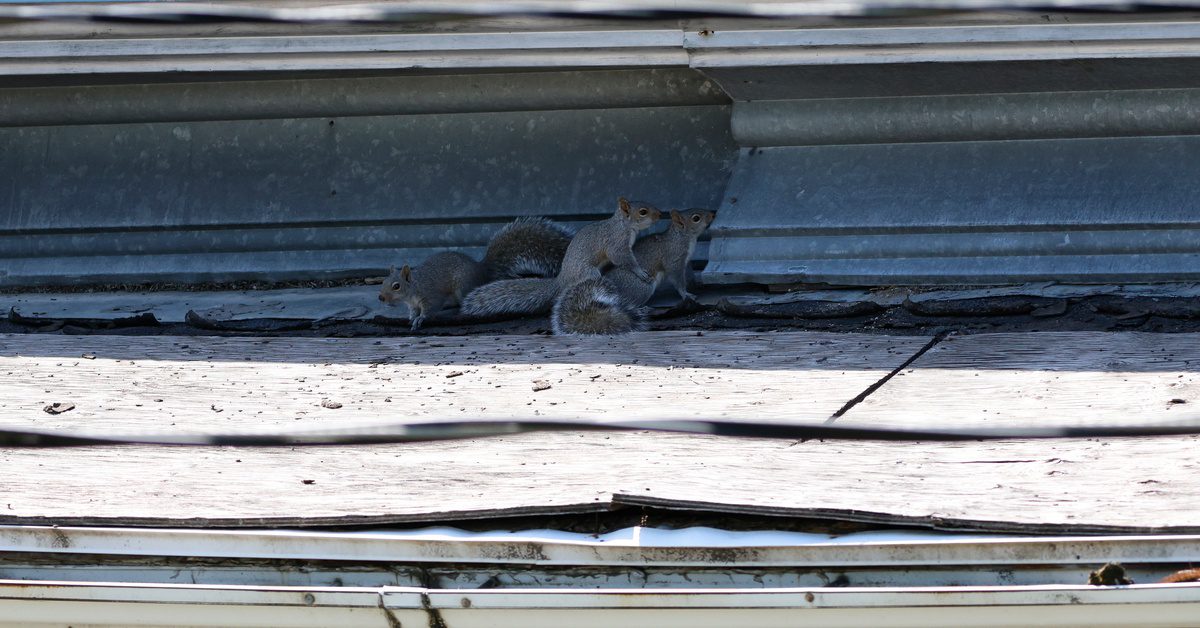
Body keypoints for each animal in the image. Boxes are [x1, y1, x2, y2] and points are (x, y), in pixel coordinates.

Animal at [379, 216, 576, 331]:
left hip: (462, 287)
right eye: (383, 282)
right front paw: (412, 317)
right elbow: (413, 311)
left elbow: (430, 308)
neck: (413, 288)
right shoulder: (412, 304)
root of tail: (480, 269)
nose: (381, 298)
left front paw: (420, 319)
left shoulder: (430, 296)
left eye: (396, 286)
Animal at [460, 198, 667, 319]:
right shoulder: (616, 243)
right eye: (643, 211)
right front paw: (640, 272)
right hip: (589, 273)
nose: (660, 213)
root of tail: (562, 280)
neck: (624, 225)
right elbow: (623, 259)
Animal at [549, 207, 710, 336]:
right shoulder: (674, 260)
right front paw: (687, 294)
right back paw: (643, 309)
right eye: (696, 218)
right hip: (642, 288)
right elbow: (677, 280)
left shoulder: (686, 262)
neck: (682, 237)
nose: (713, 214)